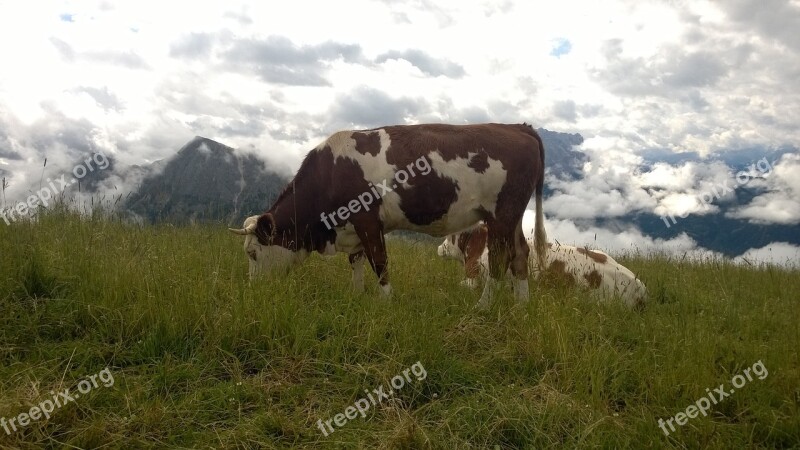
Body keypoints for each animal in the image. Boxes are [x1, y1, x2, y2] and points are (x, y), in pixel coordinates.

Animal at [228, 121, 548, 308]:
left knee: (499, 258)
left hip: (501, 212)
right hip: (512, 217)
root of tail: (518, 126)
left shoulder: (367, 219)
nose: (254, 289)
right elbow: (356, 261)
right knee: (520, 253)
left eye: (253, 253)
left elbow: (378, 262)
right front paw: (356, 295)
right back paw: (521, 307)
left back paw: (483, 306)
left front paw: (386, 301)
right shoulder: (352, 228)